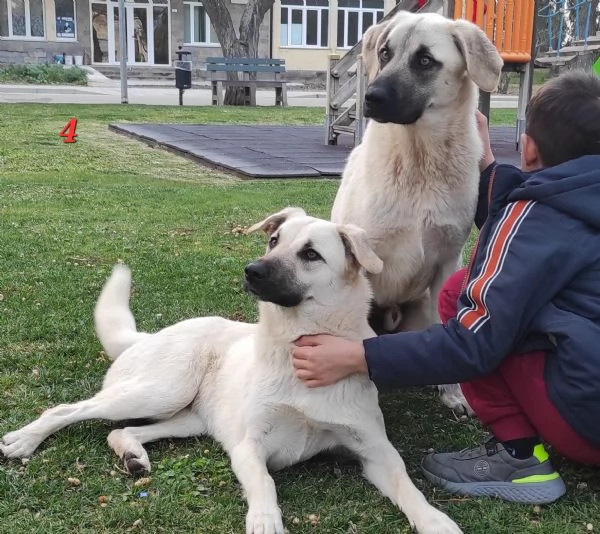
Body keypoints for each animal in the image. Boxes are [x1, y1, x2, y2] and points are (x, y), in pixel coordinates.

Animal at [0, 208, 462, 534]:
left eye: (310, 254)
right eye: (273, 240)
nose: (252, 270)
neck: (296, 348)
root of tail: (149, 335)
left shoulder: (375, 451)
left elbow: (407, 485)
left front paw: (434, 520)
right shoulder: (248, 446)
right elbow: (264, 484)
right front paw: (265, 520)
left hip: (191, 418)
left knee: (123, 430)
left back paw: (132, 454)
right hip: (162, 389)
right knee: (67, 410)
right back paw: (24, 440)